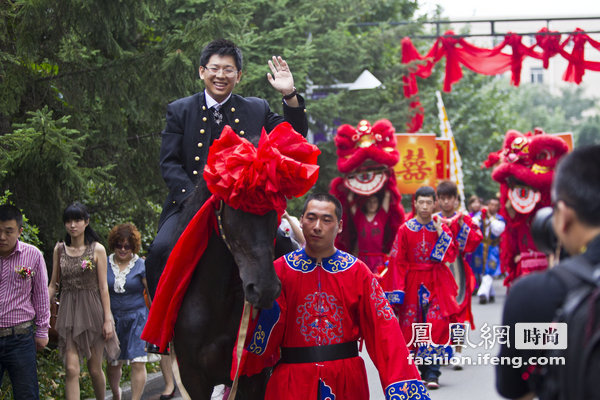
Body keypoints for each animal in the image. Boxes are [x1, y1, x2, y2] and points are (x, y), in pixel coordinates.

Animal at [146, 180, 296, 398]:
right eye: (235, 206)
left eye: (272, 209)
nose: (265, 288)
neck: (219, 299)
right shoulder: (193, 378)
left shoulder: (254, 376)